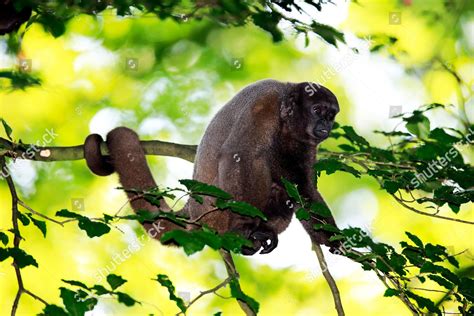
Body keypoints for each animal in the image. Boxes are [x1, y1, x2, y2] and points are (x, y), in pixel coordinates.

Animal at [83, 79, 338, 254]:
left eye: (331, 115)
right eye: (317, 111)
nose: (326, 126)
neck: (285, 117)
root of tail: (192, 211)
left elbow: (302, 184)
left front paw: (336, 241)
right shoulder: (264, 104)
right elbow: (238, 155)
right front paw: (244, 225)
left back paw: (267, 231)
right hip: (216, 212)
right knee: (256, 160)